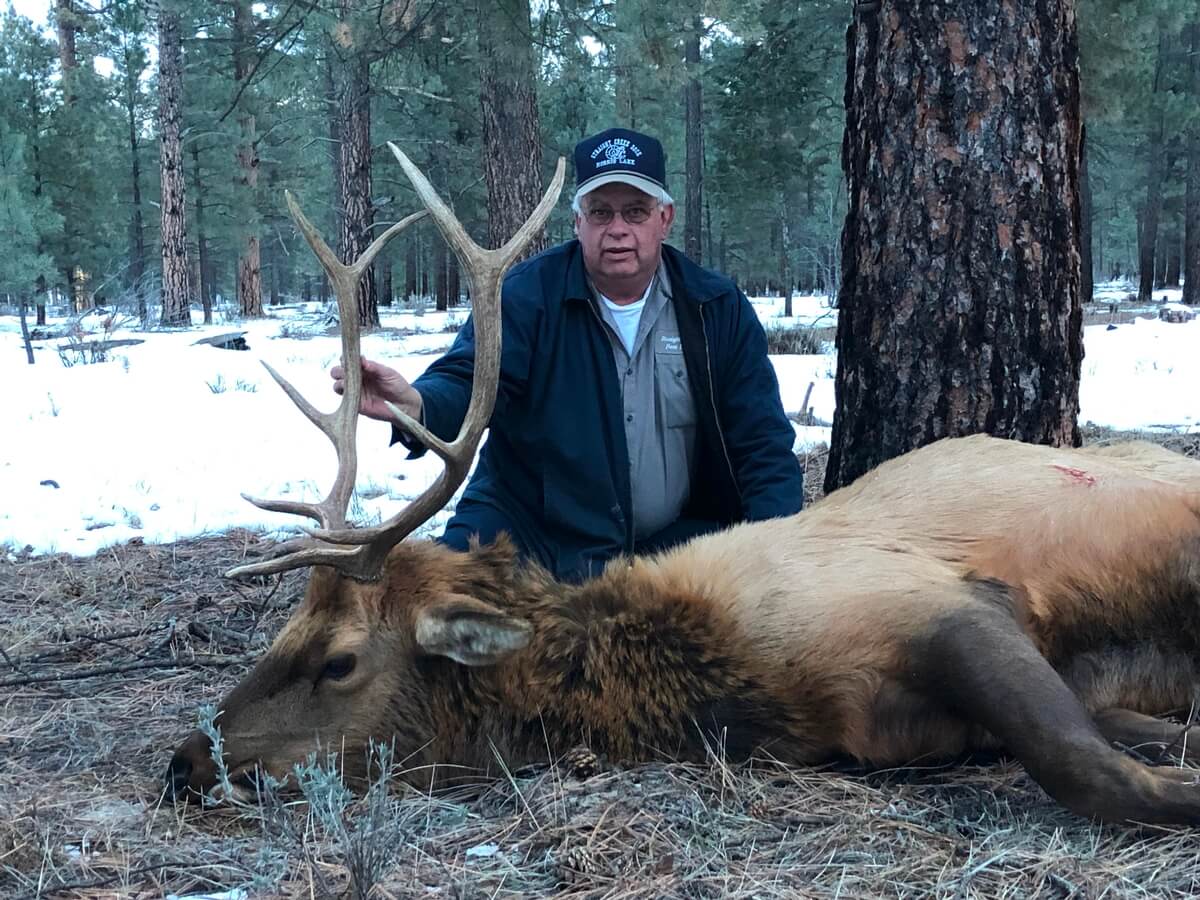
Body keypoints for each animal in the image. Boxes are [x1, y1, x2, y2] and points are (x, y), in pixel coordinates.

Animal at [166, 144, 1200, 826]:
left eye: (337, 660)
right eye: (282, 631)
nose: (185, 760)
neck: (725, 680)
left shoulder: (950, 607)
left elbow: (1092, 769)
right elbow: (1109, 737)